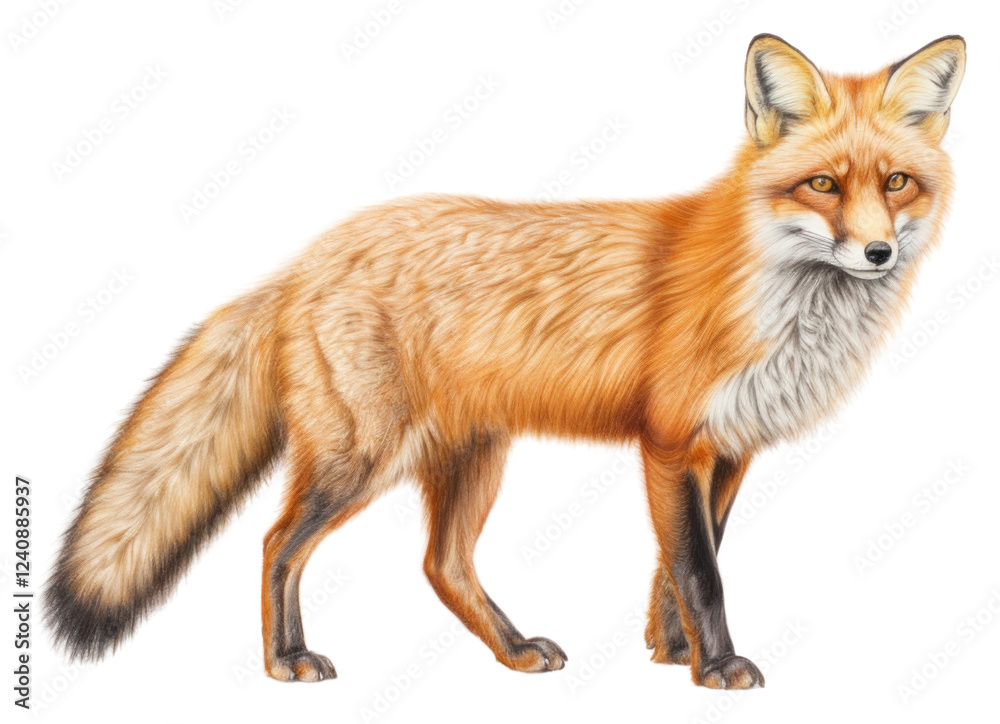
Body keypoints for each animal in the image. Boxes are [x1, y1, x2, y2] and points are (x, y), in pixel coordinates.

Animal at [46, 34, 966, 690]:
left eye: (896, 183)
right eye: (822, 185)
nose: (879, 253)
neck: (778, 299)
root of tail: (303, 260)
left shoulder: (729, 450)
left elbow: (679, 565)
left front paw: (672, 654)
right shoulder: (673, 444)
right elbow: (702, 571)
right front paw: (716, 668)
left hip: (473, 456)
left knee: (441, 564)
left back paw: (515, 649)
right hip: (361, 458)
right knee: (279, 541)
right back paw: (286, 663)